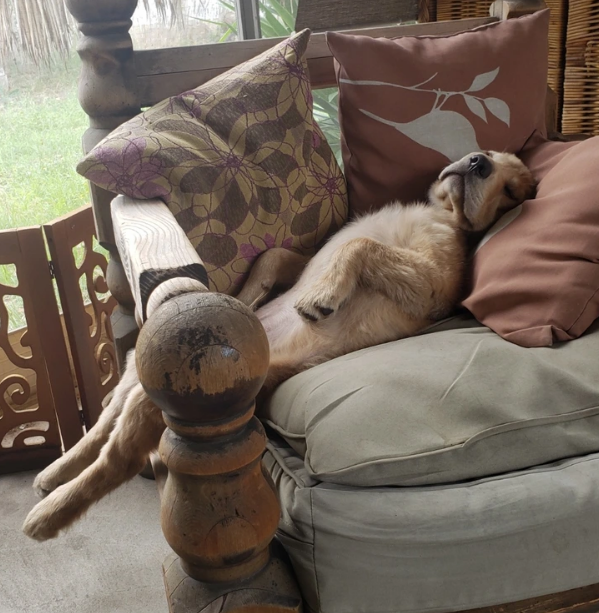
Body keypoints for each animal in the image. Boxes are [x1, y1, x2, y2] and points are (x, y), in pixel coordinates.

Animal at [22, 151, 534, 541]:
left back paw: (48, 516)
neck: (440, 214)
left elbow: (360, 246)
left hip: (156, 400)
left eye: (514, 191)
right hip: (134, 372)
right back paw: (54, 471)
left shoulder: (431, 284)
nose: (478, 163)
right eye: (488, 153)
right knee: (102, 423)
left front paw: (321, 297)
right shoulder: (303, 256)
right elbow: (278, 255)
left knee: (117, 459)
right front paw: (247, 300)